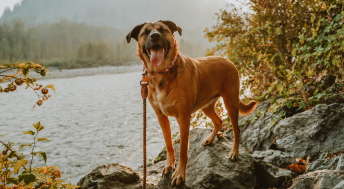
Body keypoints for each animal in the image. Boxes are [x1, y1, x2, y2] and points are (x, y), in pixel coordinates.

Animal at [126, 20, 255, 186]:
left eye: (162, 30)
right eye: (146, 32)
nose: (155, 36)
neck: (163, 73)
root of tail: (227, 60)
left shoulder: (183, 117)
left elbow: (183, 150)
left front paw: (180, 174)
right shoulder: (161, 116)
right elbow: (169, 144)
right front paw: (170, 165)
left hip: (230, 102)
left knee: (236, 130)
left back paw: (234, 152)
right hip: (206, 106)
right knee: (219, 121)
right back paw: (210, 139)